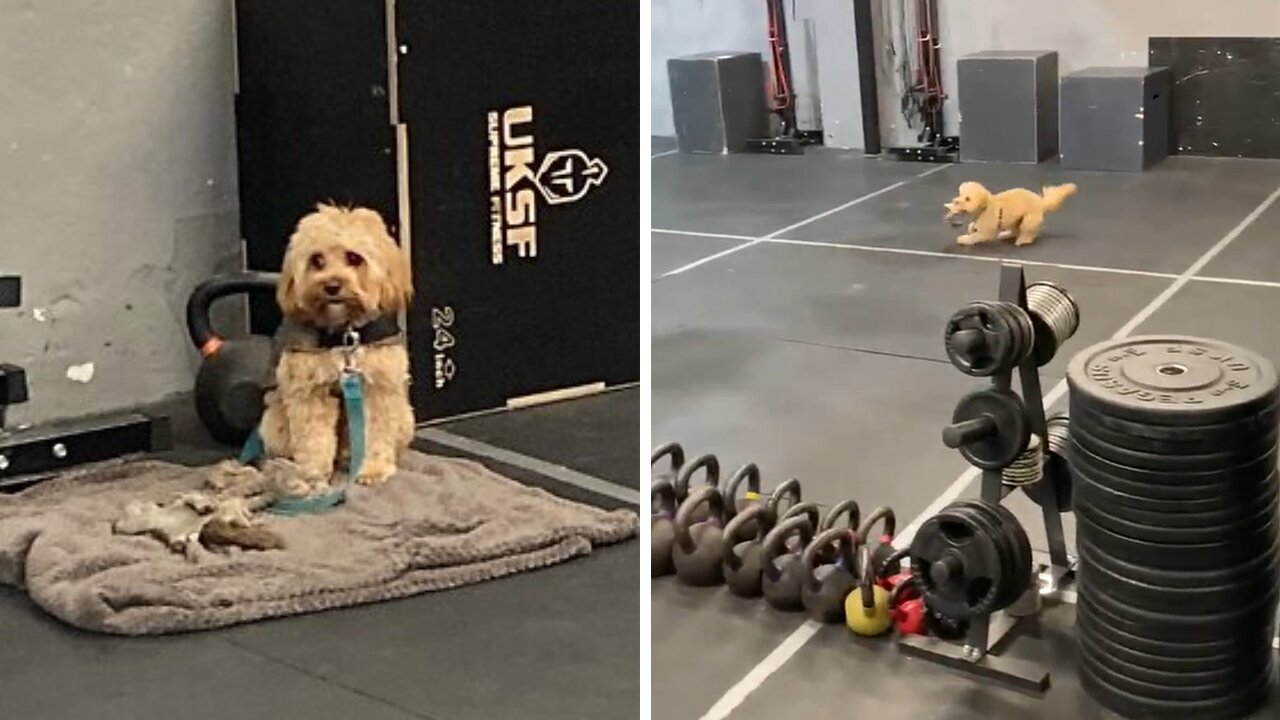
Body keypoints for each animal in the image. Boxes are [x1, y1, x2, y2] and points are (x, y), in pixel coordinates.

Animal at [259, 204, 414, 489]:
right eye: (317, 260)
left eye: (354, 258)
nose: (331, 286)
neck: (343, 334)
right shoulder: (310, 393)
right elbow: (314, 438)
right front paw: (313, 473)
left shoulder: (377, 389)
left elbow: (376, 431)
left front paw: (373, 469)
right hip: (274, 422)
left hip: (406, 418)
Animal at [942, 180, 1080, 244]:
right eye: (960, 194)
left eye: (968, 198)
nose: (956, 201)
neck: (985, 206)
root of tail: (1041, 202)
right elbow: (973, 227)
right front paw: (970, 228)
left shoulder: (987, 231)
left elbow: (977, 236)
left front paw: (964, 239)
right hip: (1015, 220)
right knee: (1014, 231)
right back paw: (1005, 234)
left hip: (1028, 220)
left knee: (1026, 232)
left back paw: (1022, 240)